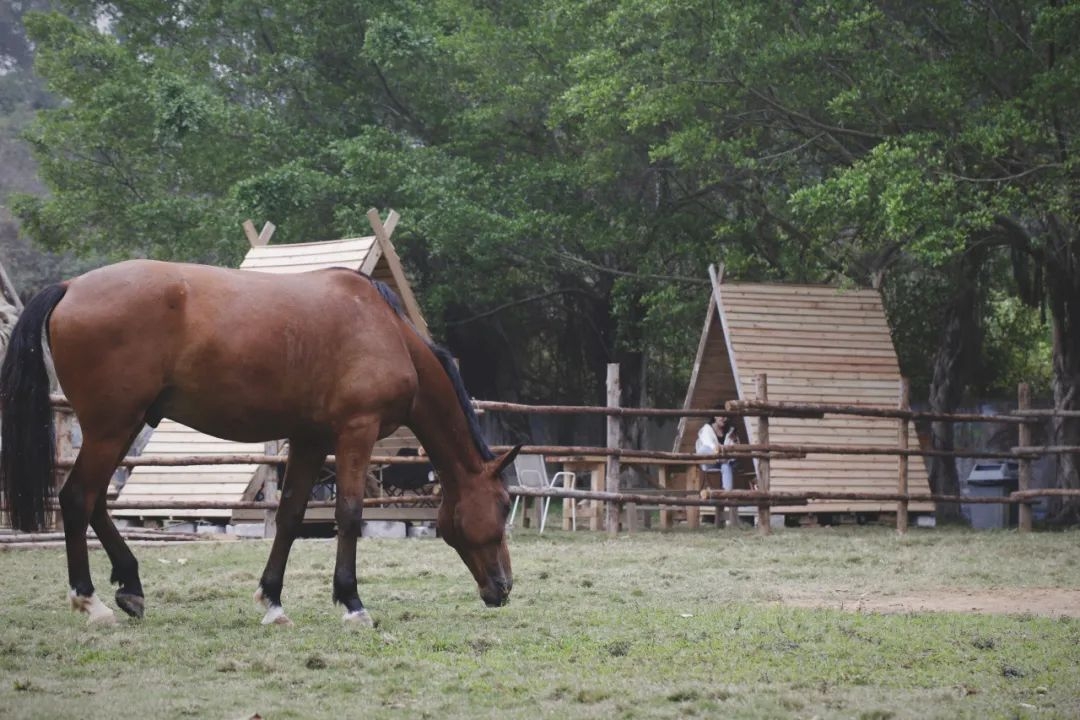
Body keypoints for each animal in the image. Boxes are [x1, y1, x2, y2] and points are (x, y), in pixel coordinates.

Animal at [0, 260, 522, 626]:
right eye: (502, 505)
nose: (504, 587)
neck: (386, 331)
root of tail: (71, 286)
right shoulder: (356, 431)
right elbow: (349, 514)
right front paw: (352, 602)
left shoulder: (310, 438)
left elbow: (290, 516)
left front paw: (272, 601)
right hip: (112, 427)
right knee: (77, 498)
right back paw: (90, 601)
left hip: (123, 427)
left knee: (94, 502)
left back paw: (130, 585)